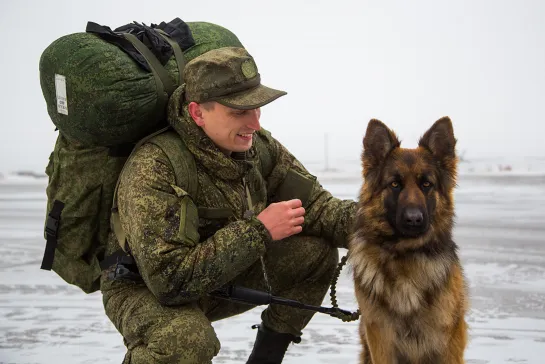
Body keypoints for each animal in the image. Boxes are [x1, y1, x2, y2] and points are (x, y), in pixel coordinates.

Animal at [348, 118, 468, 362]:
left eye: (426, 184)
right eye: (395, 184)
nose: (414, 219)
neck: (405, 255)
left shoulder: (447, 342)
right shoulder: (380, 338)